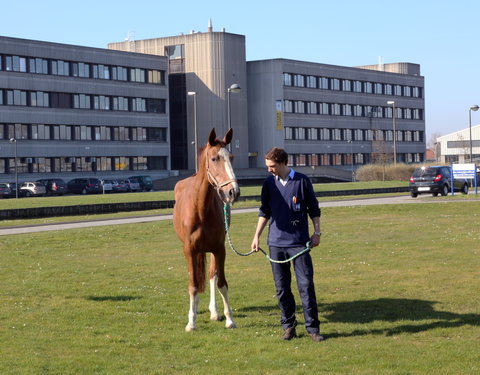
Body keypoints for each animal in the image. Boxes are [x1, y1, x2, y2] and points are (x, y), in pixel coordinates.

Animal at [172, 129, 240, 332]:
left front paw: (229, 319)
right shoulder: (189, 250)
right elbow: (193, 285)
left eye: (231, 157)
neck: (200, 208)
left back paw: (214, 311)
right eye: (214, 158)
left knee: (211, 274)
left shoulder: (219, 249)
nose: (233, 192)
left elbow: (221, 283)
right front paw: (191, 322)